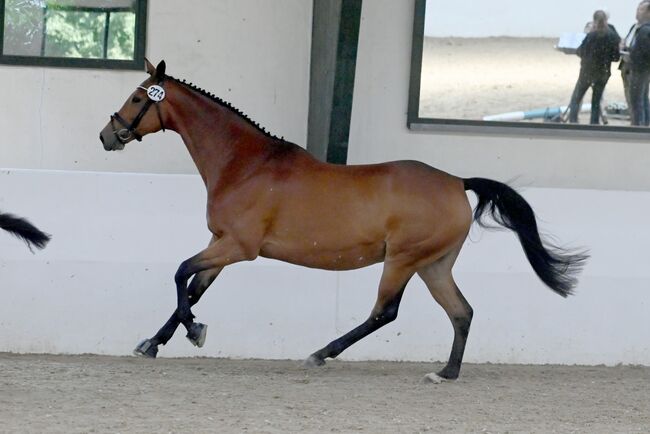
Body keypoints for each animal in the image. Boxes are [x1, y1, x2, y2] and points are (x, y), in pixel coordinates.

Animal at [97, 59, 588, 382]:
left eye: (138, 97)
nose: (107, 135)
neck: (245, 164)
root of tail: (456, 182)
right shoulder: (221, 244)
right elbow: (193, 288)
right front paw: (153, 343)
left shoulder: (238, 247)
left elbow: (181, 274)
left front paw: (194, 332)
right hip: (434, 265)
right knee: (461, 312)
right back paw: (446, 373)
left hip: (403, 261)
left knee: (385, 312)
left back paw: (321, 353)